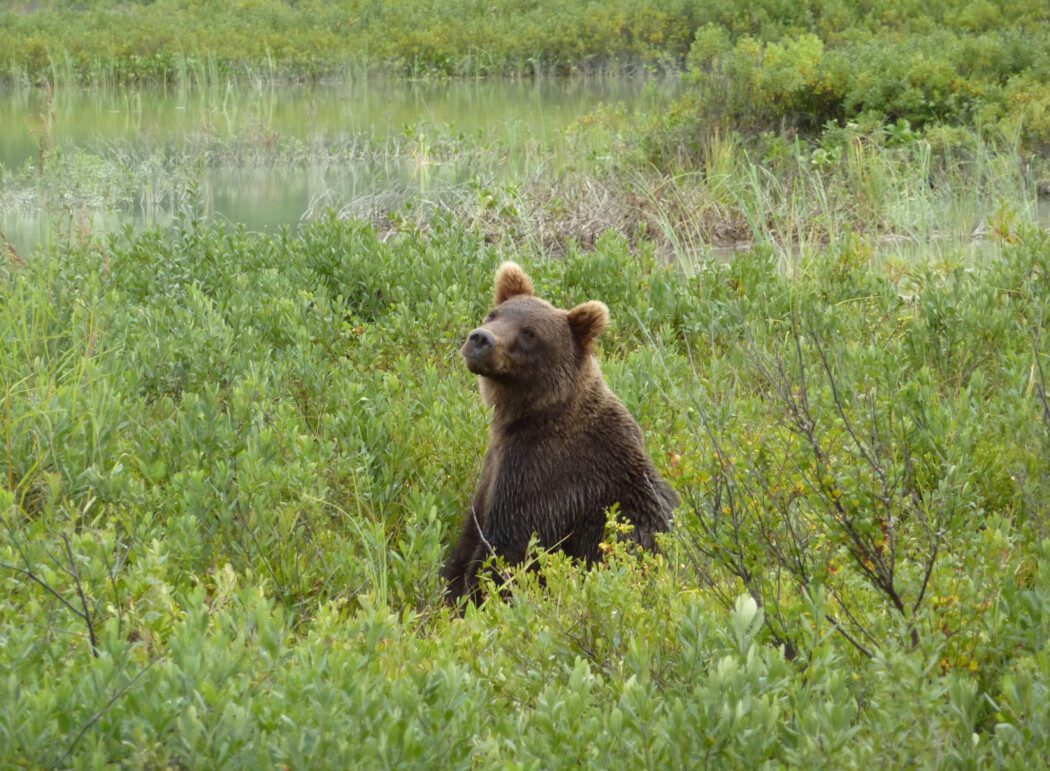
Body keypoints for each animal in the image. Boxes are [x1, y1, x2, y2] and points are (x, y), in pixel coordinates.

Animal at [443, 261, 679, 604]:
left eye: (530, 332)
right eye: (493, 313)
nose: (481, 339)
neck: (530, 415)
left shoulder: (546, 478)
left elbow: (508, 550)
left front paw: (474, 597)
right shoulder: (494, 470)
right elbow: (469, 538)